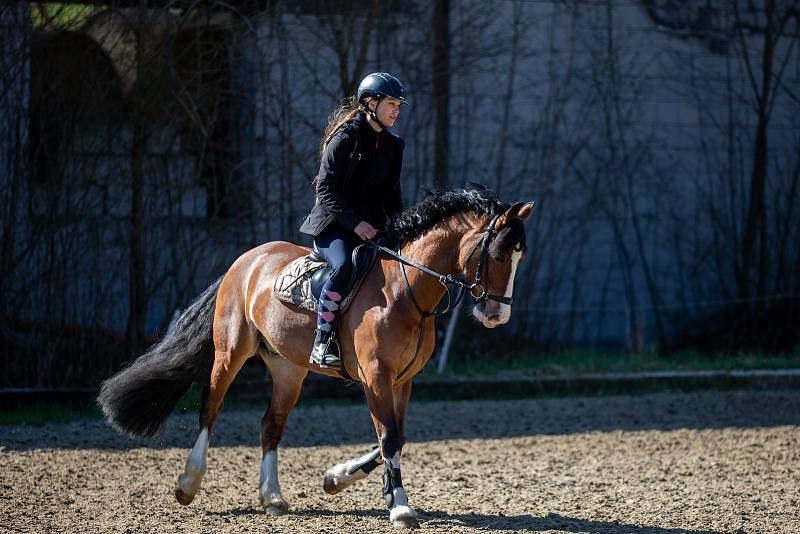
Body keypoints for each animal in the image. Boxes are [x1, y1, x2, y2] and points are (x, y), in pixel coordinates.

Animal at [100, 186, 536, 528]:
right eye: (499, 255)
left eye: (521, 257)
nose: (497, 315)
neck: (405, 289)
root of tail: (245, 260)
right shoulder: (376, 376)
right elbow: (389, 437)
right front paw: (399, 506)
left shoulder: (402, 380)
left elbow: (395, 437)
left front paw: (338, 479)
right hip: (230, 352)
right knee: (211, 407)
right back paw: (188, 484)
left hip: (288, 370)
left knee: (271, 426)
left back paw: (272, 497)